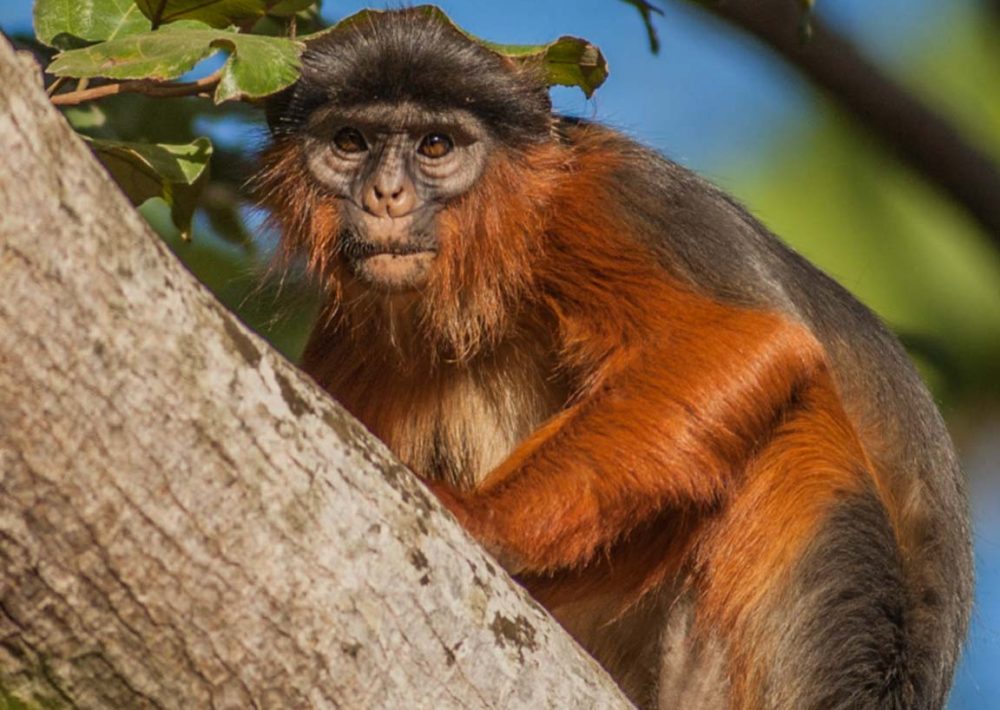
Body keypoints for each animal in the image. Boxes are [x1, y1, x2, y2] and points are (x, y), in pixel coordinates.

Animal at [254, 8, 972, 708]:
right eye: (351, 142)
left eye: (435, 146)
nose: (385, 195)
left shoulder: (615, 198)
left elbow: (751, 340)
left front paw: (482, 522)